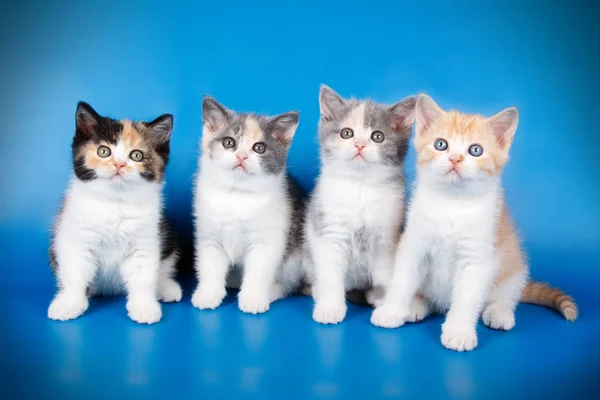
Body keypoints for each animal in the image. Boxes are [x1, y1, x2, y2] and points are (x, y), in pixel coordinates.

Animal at [47, 101, 180, 324]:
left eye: (136, 155)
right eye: (103, 151)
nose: (119, 164)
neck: (115, 202)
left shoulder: (145, 239)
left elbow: (143, 274)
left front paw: (144, 306)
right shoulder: (74, 236)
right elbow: (75, 271)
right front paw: (69, 303)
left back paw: (165, 287)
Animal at [192, 95, 304, 314]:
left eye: (259, 148)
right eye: (229, 143)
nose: (241, 155)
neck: (237, 195)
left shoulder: (267, 240)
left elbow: (258, 271)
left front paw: (253, 298)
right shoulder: (209, 236)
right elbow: (210, 265)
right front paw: (209, 294)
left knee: (287, 282)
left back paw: (271, 292)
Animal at [304, 86, 418, 324]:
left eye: (378, 136)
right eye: (346, 133)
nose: (360, 145)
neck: (360, 187)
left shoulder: (386, 237)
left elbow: (386, 275)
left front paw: (387, 306)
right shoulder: (330, 231)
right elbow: (331, 275)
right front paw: (330, 308)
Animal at [370, 95, 576, 352]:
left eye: (475, 150)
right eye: (441, 145)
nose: (455, 158)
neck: (452, 203)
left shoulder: (477, 256)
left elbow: (467, 298)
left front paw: (459, 332)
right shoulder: (414, 243)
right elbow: (402, 280)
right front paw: (391, 311)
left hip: (514, 263)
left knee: (506, 295)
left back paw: (499, 312)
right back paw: (416, 305)